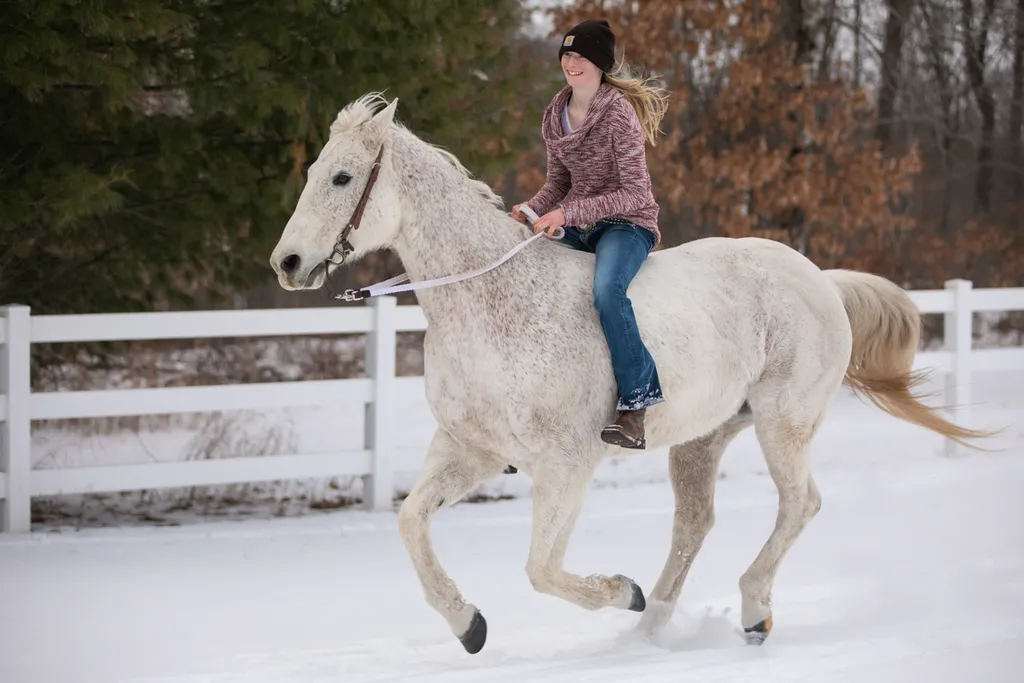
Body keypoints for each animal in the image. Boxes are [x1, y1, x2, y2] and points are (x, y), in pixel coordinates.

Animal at [269, 93, 989, 655]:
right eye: (314, 171)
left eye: (342, 178)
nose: (288, 262)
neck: (493, 304)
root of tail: (819, 279)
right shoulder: (471, 449)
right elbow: (411, 523)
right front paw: (468, 623)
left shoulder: (565, 466)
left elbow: (541, 568)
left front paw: (621, 591)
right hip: (704, 437)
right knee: (695, 523)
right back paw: (650, 630)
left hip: (785, 425)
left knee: (799, 505)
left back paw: (749, 610)